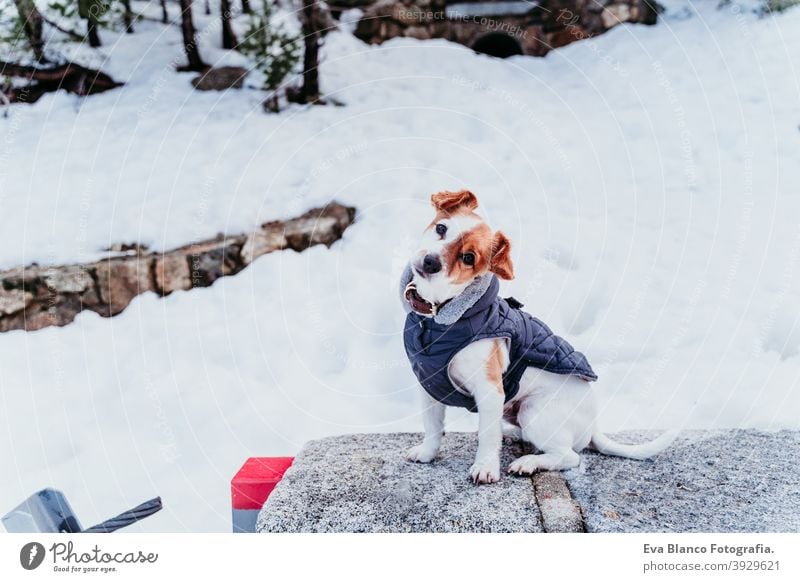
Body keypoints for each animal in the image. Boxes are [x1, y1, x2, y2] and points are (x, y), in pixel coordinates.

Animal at [400, 190, 676, 484]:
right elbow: (432, 426)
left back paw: (528, 462)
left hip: (534, 411)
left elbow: (487, 437)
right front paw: (427, 454)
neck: (437, 316)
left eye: (468, 258)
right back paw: (512, 436)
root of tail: (593, 425)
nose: (430, 262)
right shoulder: (430, 386)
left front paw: (485, 467)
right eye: (441, 228)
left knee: (569, 456)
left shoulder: (490, 391)